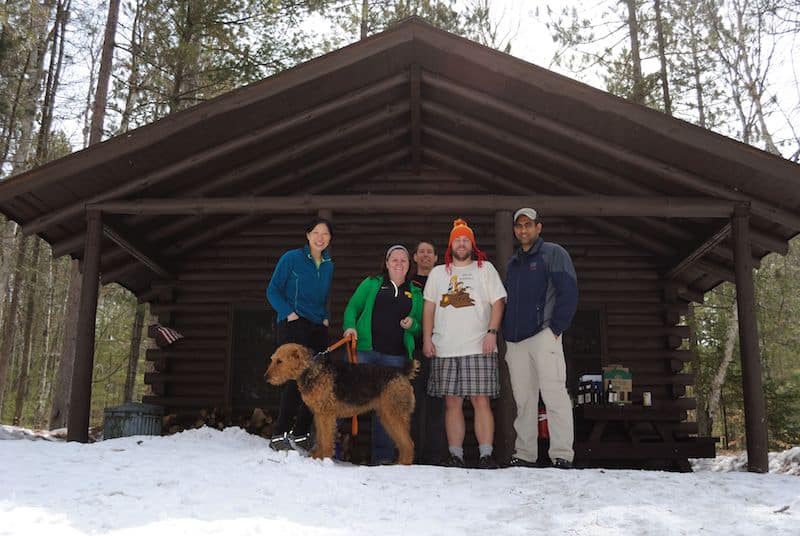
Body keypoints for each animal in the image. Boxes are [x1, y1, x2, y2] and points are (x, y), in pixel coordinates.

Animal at [268, 344, 422, 464]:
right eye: (273, 359)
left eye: (280, 361)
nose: (266, 377)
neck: (311, 370)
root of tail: (402, 372)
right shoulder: (319, 414)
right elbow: (321, 438)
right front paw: (317, 456)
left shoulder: (326, 414)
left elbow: (326, 438)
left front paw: (324, 458)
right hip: (386, 416)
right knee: (403, 442)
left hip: (394, 414)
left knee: (409, 443)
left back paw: (403, 464)